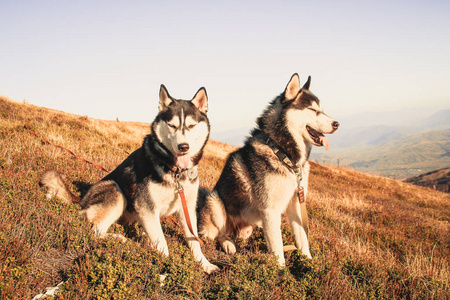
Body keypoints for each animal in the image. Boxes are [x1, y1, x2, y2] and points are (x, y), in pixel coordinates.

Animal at [39, 84, 219, 272]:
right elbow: (162, 244)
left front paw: (204, 264)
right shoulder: (146, 206)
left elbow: (194, 240)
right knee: (96, 231)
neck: (175, 170)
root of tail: (82, 199)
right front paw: (165, 265)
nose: (183, 147)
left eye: (191, 125)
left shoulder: (187, 208)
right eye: (172, 125)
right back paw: (119, 238)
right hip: (116, 192)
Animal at [199, 74, 340, 266]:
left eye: (322, 110)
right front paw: (281, 270)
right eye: (312, 109)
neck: (283, 154)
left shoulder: (295, 203)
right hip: (215, 201)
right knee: (218, 234)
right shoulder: (270, 210)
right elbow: (278, 248)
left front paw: (309, 263)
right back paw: (228, 244)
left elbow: (302, 238)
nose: (337, 124)